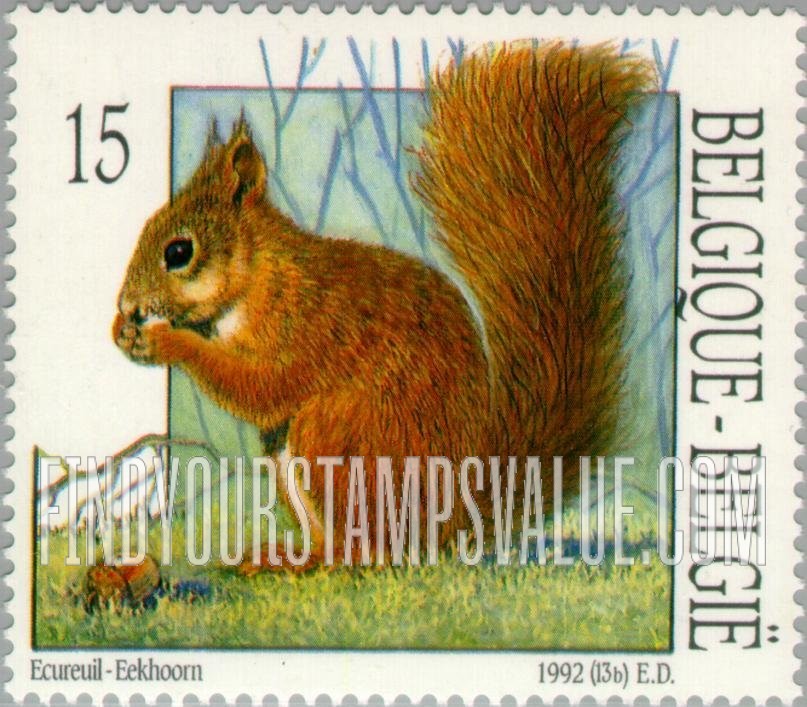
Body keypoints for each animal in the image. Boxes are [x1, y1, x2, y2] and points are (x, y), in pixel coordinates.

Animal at [113, 41, 653, 567]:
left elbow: (262, 387)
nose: (127, 304)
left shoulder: (311, 323)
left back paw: (331, 556)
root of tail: (455, 519)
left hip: (341, 440)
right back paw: (286, 554)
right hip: (289, 455)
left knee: (373, 548)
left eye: (178, 252)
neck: (258, 278)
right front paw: (123, 332)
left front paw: (165, 341)